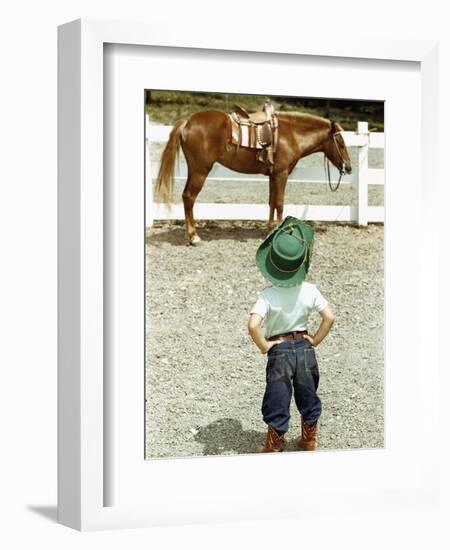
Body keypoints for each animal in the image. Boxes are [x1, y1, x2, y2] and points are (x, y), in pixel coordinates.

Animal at [155, 110, 352, 244]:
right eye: (341, 143)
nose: (349, 167)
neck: (291, 135)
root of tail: (188, 121)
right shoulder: (281, 174)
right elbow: (279, 203)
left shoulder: (273, 176)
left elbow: (272, 203)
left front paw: (271, 230)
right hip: (200, 171)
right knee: (189, 197)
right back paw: (193, 236)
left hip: (194, 170)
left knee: (186, 197)